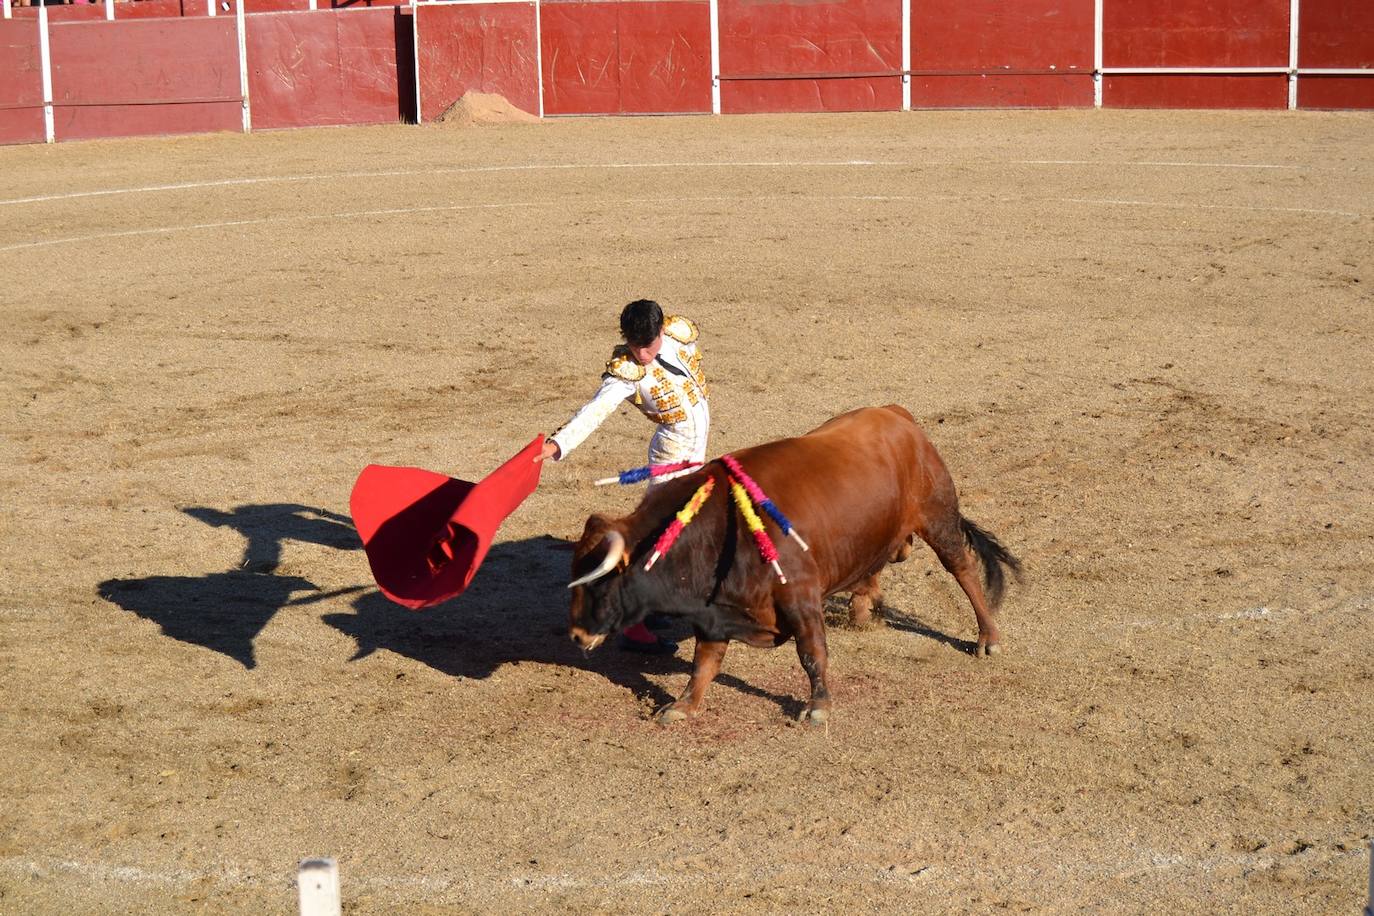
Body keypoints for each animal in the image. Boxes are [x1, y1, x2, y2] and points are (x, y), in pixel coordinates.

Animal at [560, 406, 1022, 725]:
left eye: (599, 582)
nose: (577, 636)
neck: (717, 527)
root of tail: (897, 414)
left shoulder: (800, 595)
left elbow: (811, 652)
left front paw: (817, 706)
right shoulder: (715, 612)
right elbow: (704, 663)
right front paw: (683, 706)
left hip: (938, 516)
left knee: (962, 569)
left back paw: (987, 637)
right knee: (878, 560)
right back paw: (862, 607)